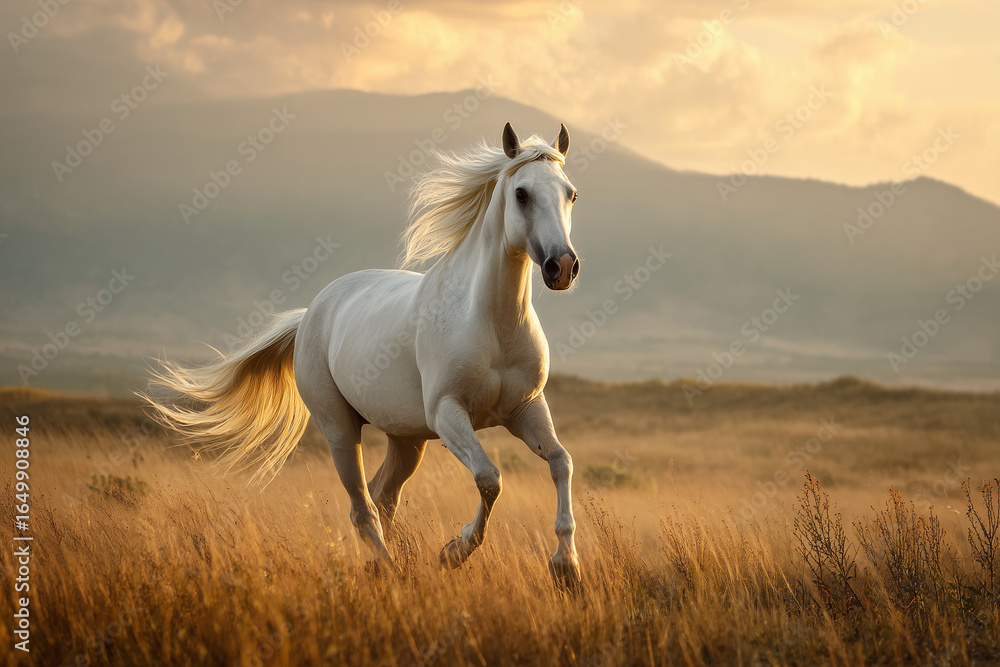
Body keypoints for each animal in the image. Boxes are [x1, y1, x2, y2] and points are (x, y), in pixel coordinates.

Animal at [145, 122, 583, 586]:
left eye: (571, 193)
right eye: (521, 193)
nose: (562, 267)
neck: (488, 322)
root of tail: (311, 313)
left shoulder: (526, 408)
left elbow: (561, 462)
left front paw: (566, 566)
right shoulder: (448, 413)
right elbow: (489, 478)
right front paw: (454, 550)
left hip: (407, 439)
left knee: (382, 496)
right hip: (339, 429)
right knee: (363, 506)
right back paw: (389, 568)